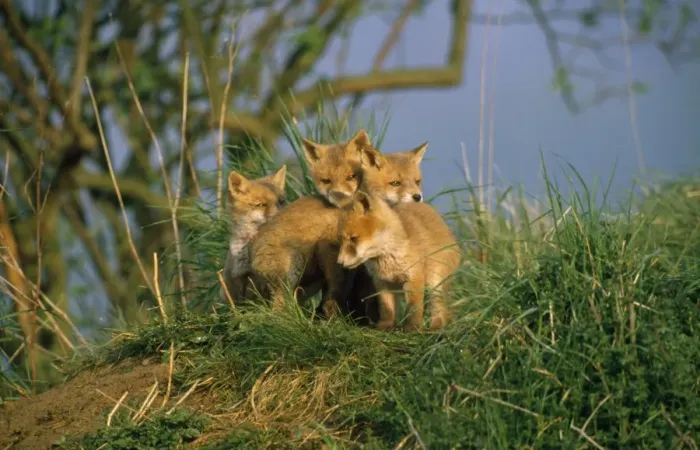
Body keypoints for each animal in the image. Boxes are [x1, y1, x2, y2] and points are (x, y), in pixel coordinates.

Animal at [249, 129, 371, 316]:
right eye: (326, 180)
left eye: (351, 177)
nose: (339, 196)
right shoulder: (329, 248)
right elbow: (336, 288)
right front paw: (334, 316)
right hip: (292, 268)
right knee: (278, 308)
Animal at [337, 191, 461, 331]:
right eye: (340, 240)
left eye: (353, 238)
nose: (339, 262)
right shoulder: (382, 282)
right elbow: (387, 309)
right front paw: (385, 326)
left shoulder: (414, 278)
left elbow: (414, 309)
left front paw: (412, 329)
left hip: (435, 283)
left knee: (439, 309)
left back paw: (436, 327)